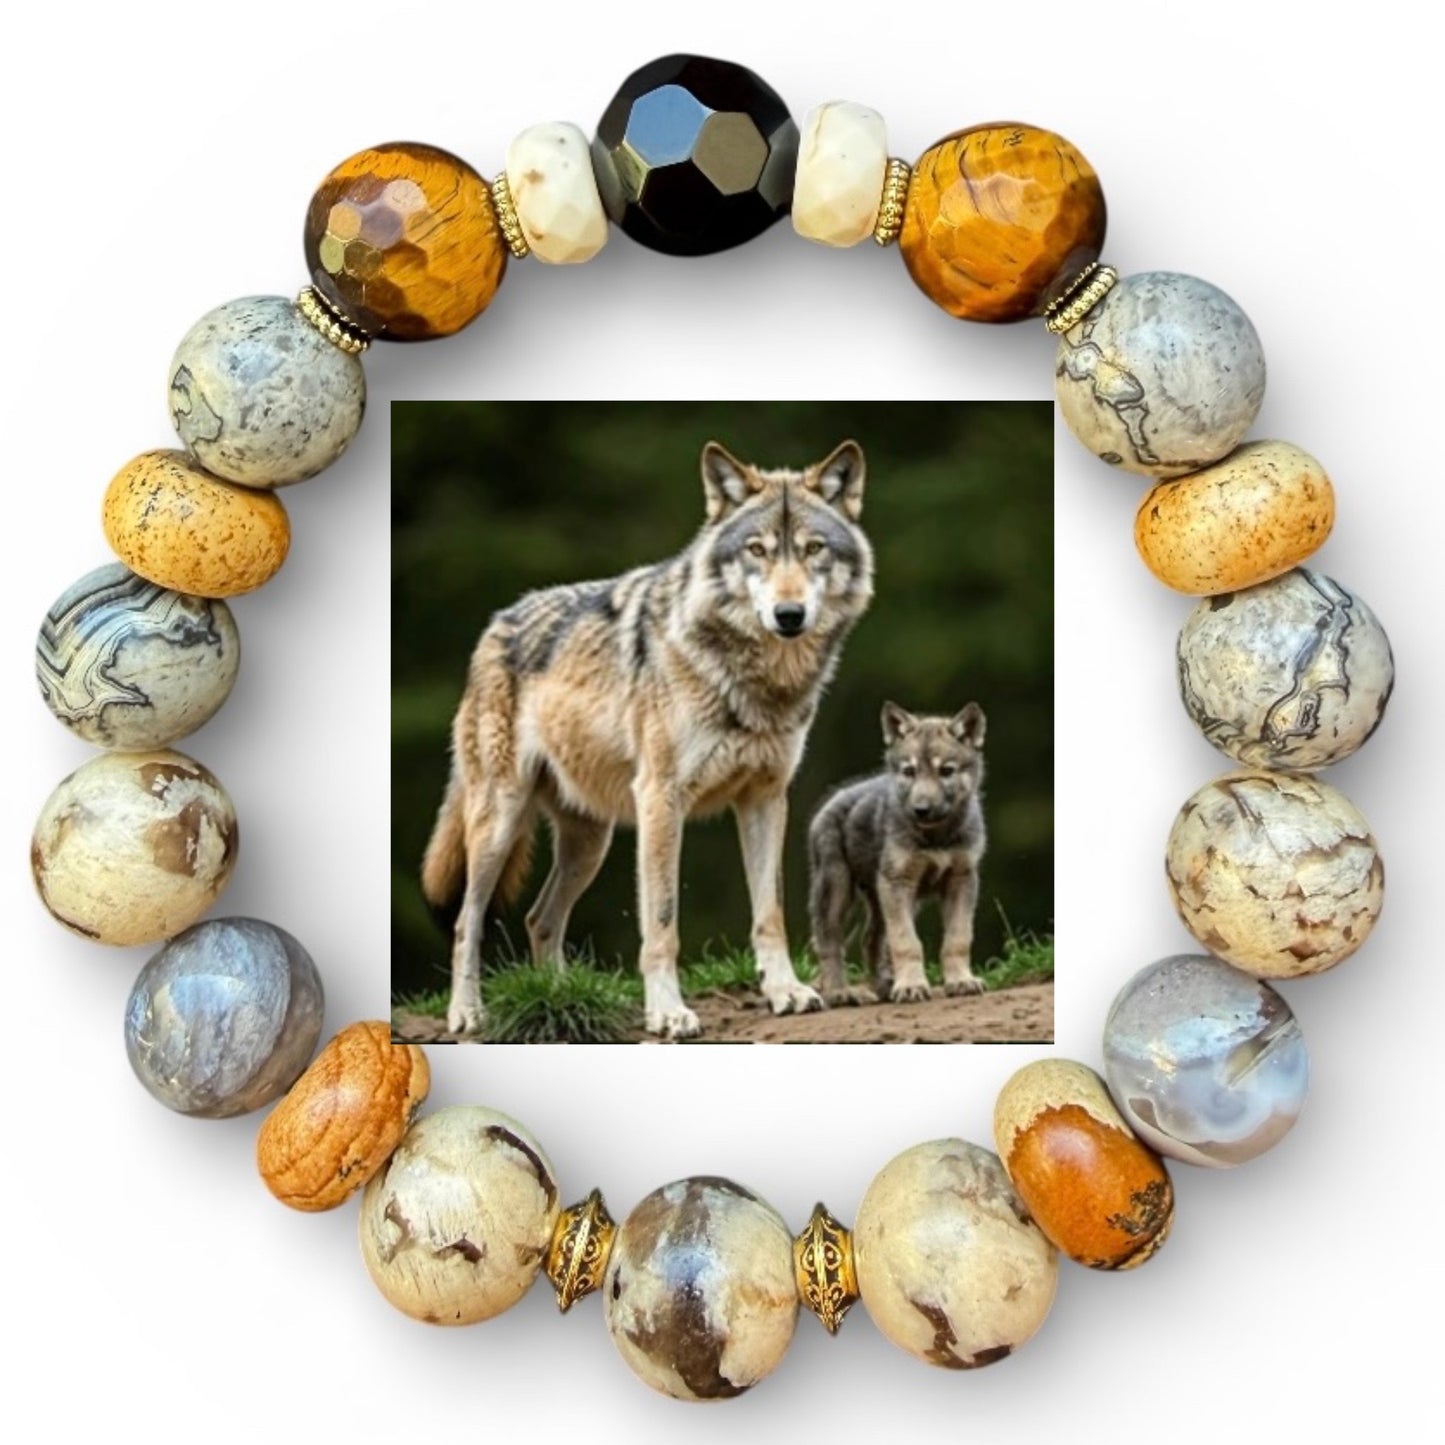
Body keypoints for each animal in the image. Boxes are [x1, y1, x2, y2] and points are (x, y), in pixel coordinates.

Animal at [422, 440, 874, 1039]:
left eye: (813, 549)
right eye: (756, 550)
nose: (789, 614)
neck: (754, 681)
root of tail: (496, 623)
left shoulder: (765, 799)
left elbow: (770, 913)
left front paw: (786, 991)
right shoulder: (662, 800)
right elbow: (661, 923)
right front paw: (668, 1012)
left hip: (590, 843)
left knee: (539, 919)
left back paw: (563, 1001)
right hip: (499, 823)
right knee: (466, 921)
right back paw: (467, 1012)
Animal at [808, 701, 987, 1005]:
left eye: (946, 771)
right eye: (909, 771)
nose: (921, 809)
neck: (935, 839)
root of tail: (835, 797)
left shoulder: (961, 879)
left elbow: (958, 939)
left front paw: (961, 981)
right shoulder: (898, 883)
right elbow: (907, 942)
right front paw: (912, 986)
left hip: (886, 900)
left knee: (870, 939)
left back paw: (883, 986)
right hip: (838, 890)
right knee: (829, 940)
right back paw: (838, 992)